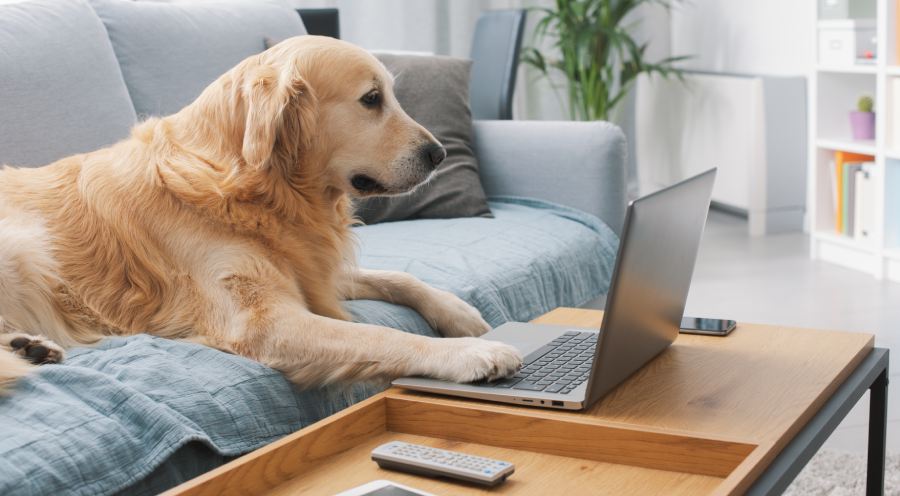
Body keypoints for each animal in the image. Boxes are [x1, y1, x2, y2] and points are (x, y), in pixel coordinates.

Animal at [0, 35, 520, 394]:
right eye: (372, 99)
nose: (439, 154)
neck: (258, 188)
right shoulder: (264, 322)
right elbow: (382, 336)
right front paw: (472, 353)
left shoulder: (309, 269)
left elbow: (399, 276)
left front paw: (459, 314)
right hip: (22, 246)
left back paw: (32, 347)